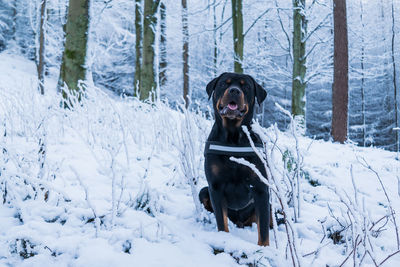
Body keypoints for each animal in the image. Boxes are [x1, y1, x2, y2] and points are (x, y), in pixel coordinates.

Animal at [199, 71, 270, 247]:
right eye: (224, 83)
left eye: (246, 86)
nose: (234, 91)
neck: (233, 137)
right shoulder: (215, 186)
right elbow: (221, 221)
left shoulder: (260, 188)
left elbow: (264, 229)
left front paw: (265, 248)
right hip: (203, 191)